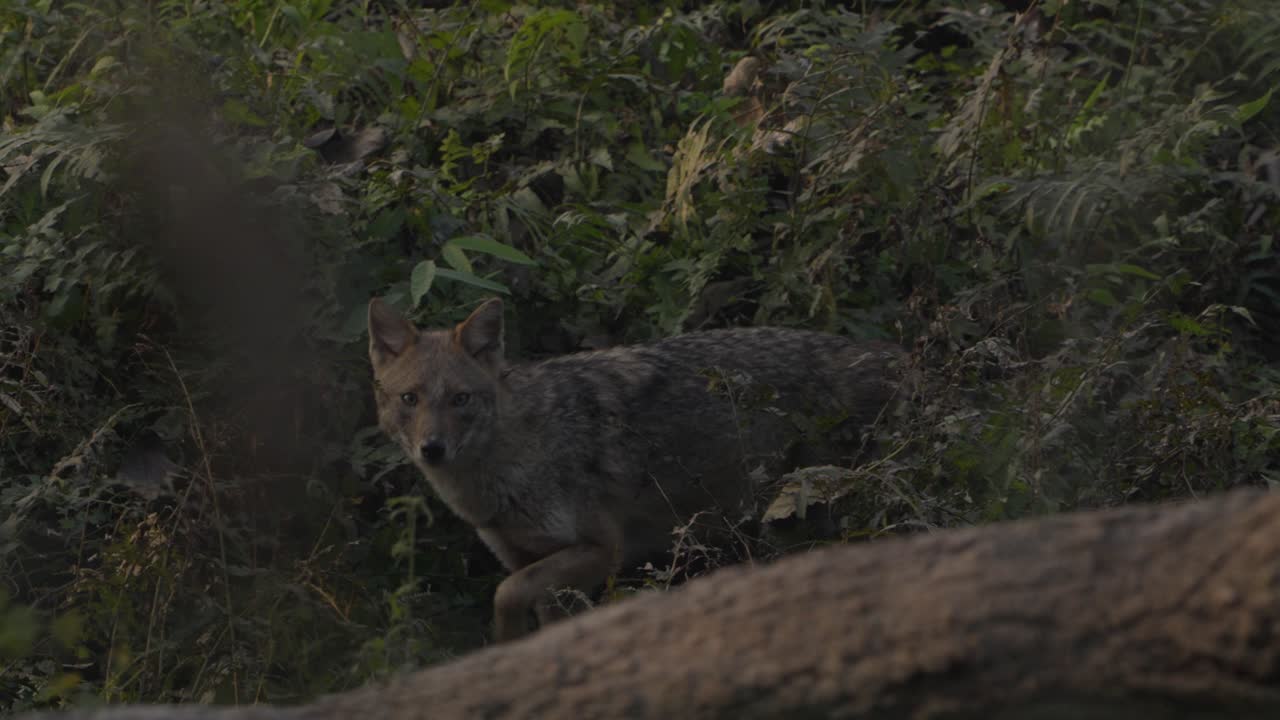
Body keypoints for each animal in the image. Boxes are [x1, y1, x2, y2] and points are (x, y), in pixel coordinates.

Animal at [367, 297, 904, 642]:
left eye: (460, 400)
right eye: (410, 399)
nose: (432, 449)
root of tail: (895, 355)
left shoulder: (603, 550)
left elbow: (504, 594)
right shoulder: (533, 565)